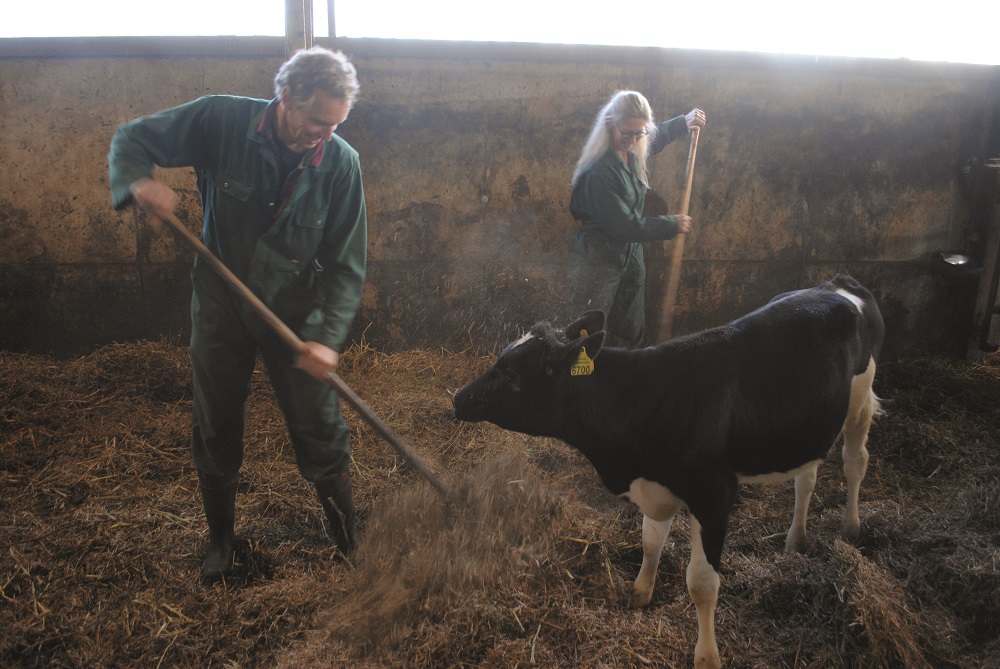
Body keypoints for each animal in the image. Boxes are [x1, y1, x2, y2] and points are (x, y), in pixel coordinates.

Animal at [454, 274, 884, 664]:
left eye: (511, 373)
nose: (458, 397)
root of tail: (836, 283)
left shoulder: (713, 494)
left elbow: (702, 583)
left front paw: (707, 656)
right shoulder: (654, 482)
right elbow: (650, 541)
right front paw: (640, 593)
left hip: (860, 394)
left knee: (855, 462)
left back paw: (851, 528)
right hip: (807, 427)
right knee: (806, 476)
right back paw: (795, 539)